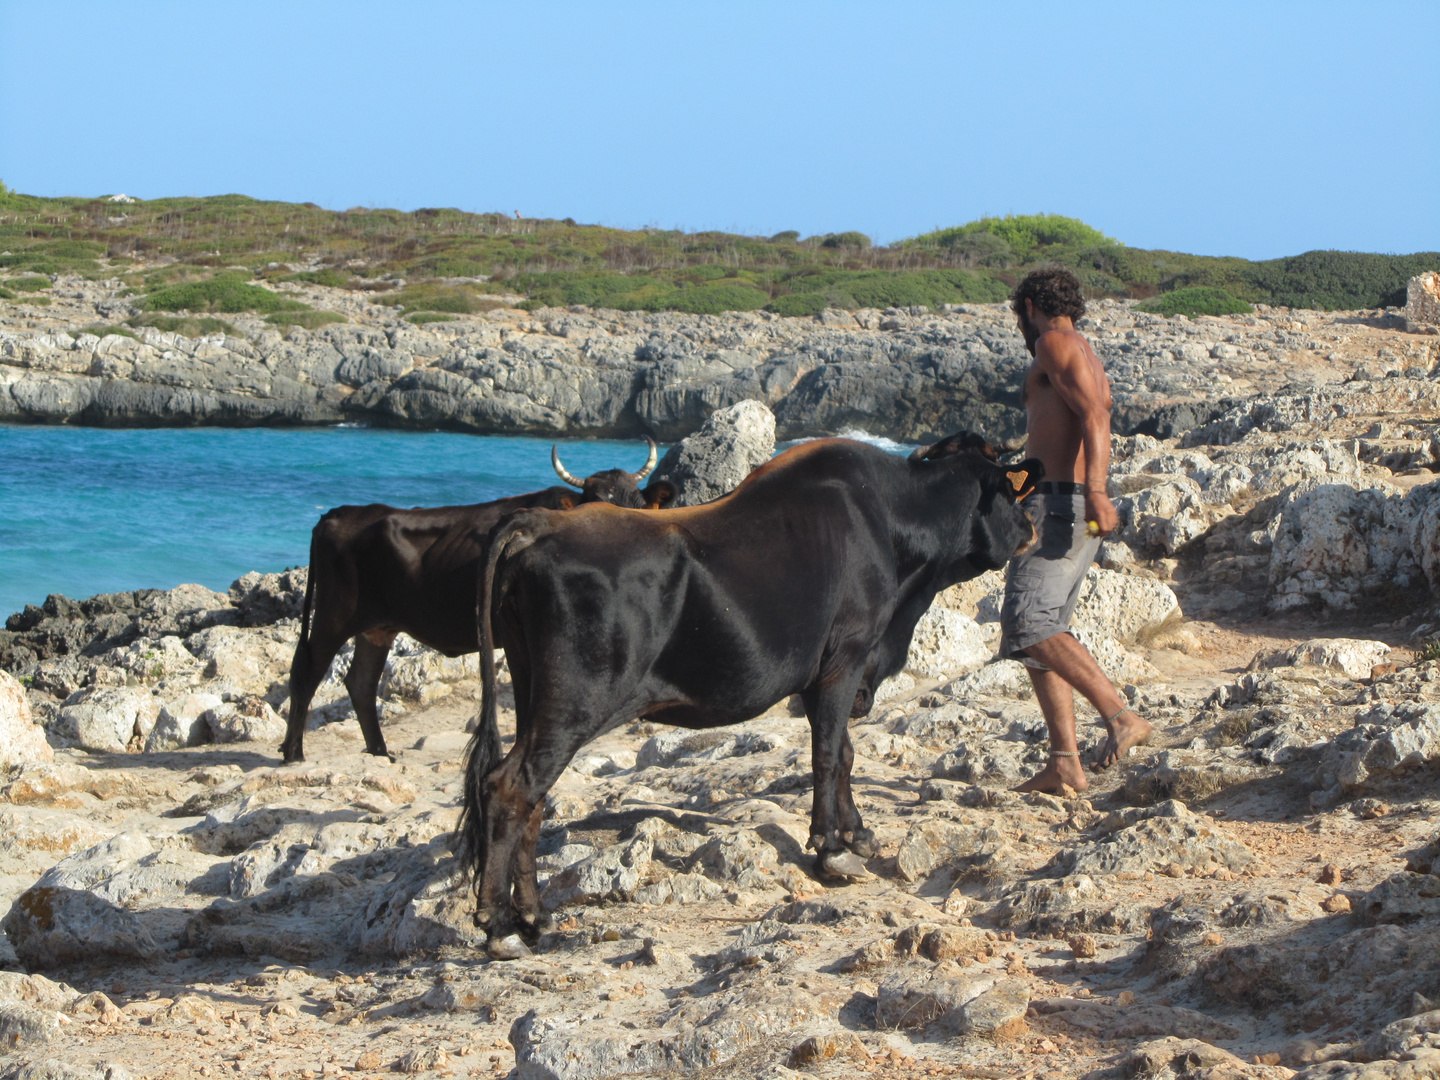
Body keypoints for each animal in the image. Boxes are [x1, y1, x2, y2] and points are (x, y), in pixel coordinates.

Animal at [280, 437, 673, 760]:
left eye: (639, 504)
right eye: (593, 507)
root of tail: (340, 513)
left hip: (377, 628)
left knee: (361, 682)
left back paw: (380, 752)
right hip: (334, 614)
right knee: (307, 671)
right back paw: (294, 753)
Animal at [457, 426, 1036, 961]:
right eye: (1011, 491)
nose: (1031, 529)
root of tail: (540, 524)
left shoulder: (830, 675)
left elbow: (845, 752)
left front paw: (857, 833)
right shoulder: (845, 660)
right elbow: (828, 754)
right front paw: (832, 849)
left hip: (535, 693)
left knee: (533, 799)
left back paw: (534, 916)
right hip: (573, 703)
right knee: (510, 788)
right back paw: (501, 926)